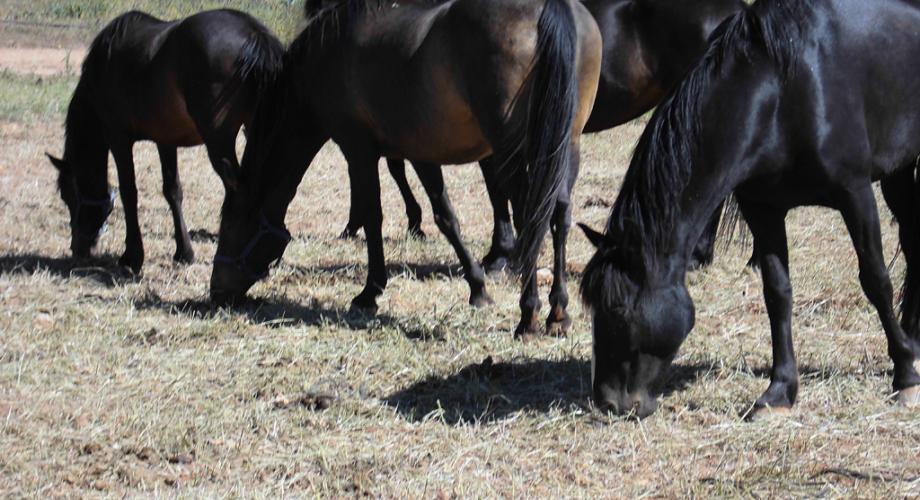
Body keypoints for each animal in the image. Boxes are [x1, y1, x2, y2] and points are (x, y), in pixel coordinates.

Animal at [46, 8, 282, 274]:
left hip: (220, 142)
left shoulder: (118, 138)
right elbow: (172, 191)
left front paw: (132, 256)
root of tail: (254, 33)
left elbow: (129, 191)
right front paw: (184, 252)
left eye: (67, 195)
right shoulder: (166, 140)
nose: (78, 248)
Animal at [207, 0, 604, 338]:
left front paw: (369, 292)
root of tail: (550, 9)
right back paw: (558, 313)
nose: (216, 292)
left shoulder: (358, 149)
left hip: (514, 151)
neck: (325, 58)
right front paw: (477, 287)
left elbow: (373, 216)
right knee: (559, 214)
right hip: (564, 145)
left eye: (231, 225)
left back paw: (529, 315)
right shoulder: (423, 154)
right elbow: (446, 218)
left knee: (531, 215)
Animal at [580, 0, 920, 418]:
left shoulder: (854, 193)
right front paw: (780, 391)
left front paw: (905, 374)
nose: (608, 401)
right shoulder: (763, 208)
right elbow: (777, 293)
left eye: (618, 311)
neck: (785, 92)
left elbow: (875, 280)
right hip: (899, 171)